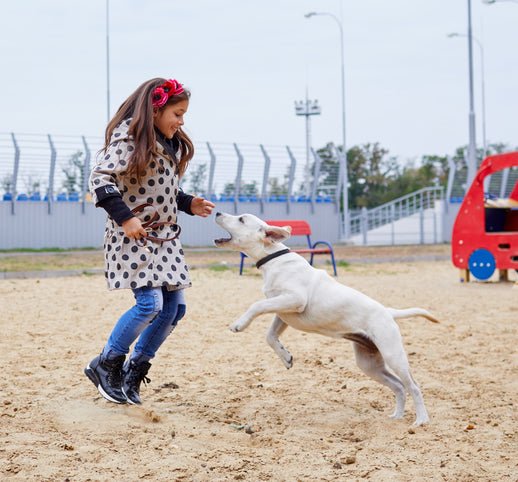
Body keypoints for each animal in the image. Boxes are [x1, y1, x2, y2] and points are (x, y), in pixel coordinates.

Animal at [213, 212, 440, 426]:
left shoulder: (294, 299)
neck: (272, 259)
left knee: (413, 386)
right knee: (399, 386)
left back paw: (421, 420)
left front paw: (239, 324)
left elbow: (257, 305)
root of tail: (388, 312)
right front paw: (286, 357)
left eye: (241, 219)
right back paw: (397, 416)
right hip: (369, 364)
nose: (217, 212)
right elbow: (270, 336)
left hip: (393, 356)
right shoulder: (283, 312)